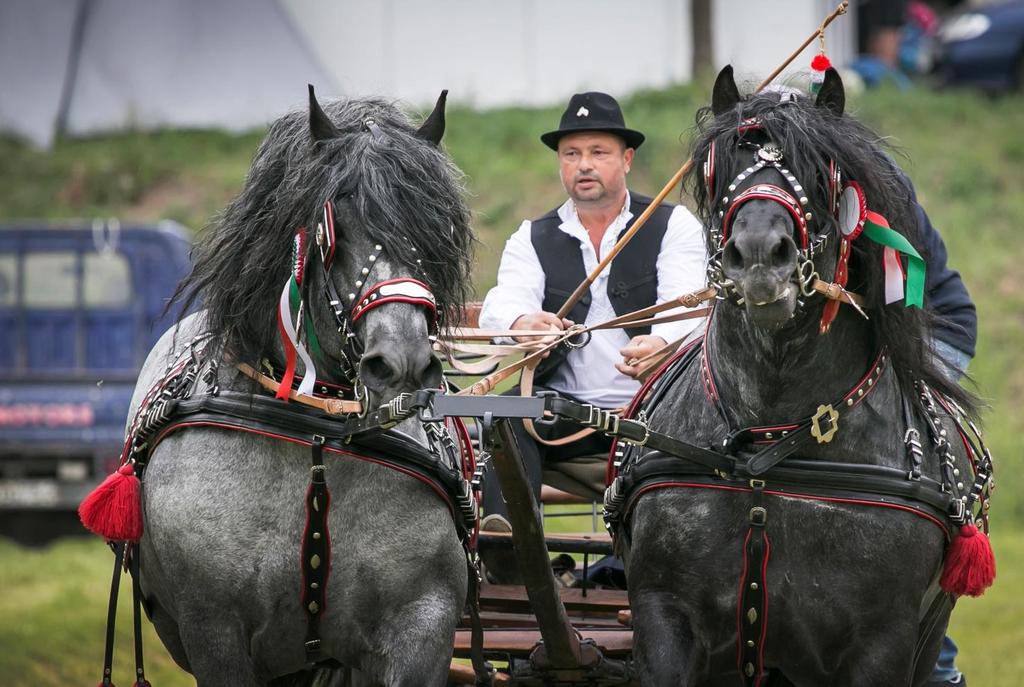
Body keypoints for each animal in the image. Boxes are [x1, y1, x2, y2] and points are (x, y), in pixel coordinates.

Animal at [128, 88, 475, 683]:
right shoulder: (213, 629)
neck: (318, 434)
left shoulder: (422, 626)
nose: (403, 362)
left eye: (437, 227)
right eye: (335, 226)